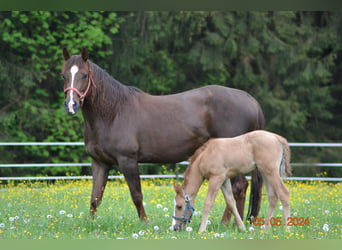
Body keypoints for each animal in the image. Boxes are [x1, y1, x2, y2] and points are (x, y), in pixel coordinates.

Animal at [61, 47, 266, 223]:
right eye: (64, 75)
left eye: (84, 75)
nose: (71, 106)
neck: (114, 113)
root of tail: (250, 100)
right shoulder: (100, 163)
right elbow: (95, 197)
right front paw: (91, 224)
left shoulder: (127, 160)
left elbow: (136, 195)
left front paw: (145, 223)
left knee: (239, 188)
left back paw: (228, 224)